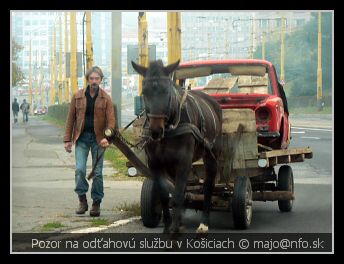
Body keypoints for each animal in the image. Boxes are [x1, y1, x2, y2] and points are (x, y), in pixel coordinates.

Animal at [132, 58, 223, 234]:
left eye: (167, 91)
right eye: (144, 92)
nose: (155, 130)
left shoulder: (184, 160)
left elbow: (179, 193)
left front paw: (174, 228)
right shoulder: (155, 163)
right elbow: (164, 194)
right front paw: (169, 225)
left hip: (211, 154)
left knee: (208, 185)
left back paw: (204, 223)